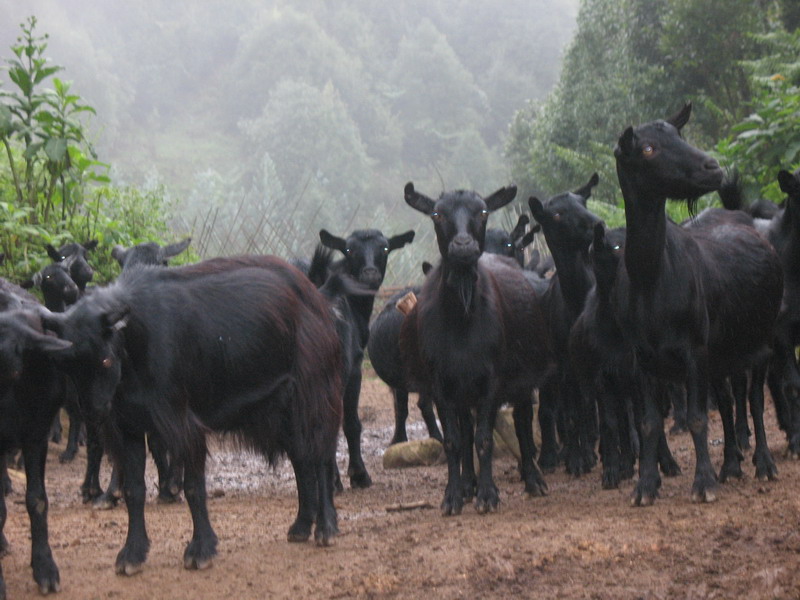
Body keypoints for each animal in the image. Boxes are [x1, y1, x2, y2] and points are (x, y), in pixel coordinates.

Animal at [400, 184, 552, 516]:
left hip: (522, 378)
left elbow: (484, 439)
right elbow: (454, 441)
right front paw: (453, 497)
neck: (461, 321)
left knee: (522, 423)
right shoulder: (441, 383)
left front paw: (488, 495)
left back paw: (533, 480)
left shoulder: (491, 380)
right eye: (437, 214)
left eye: (482, 211)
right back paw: (468, 484)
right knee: (467, 429)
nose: (463, 245)